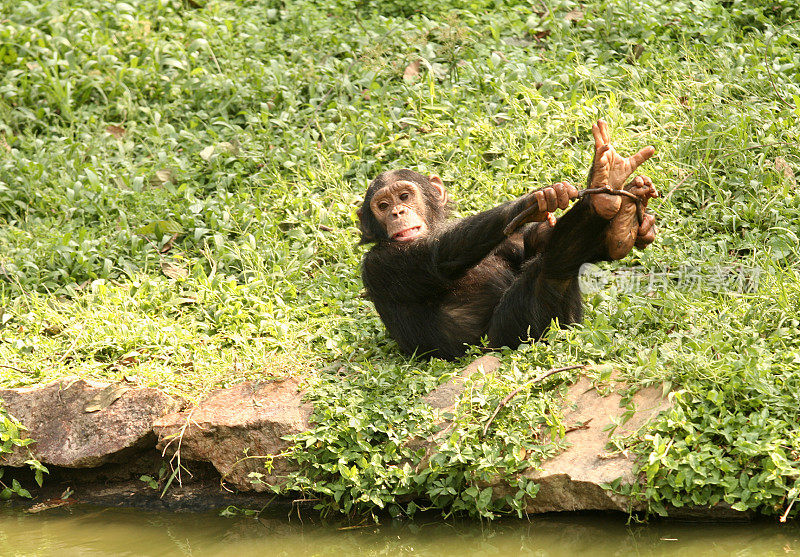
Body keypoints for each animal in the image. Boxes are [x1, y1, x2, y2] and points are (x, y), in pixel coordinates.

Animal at [358, 119, 656, 358]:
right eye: (382, 205)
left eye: (404, 196)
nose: (397, 212)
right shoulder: (380, 264)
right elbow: (437, 255)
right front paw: (532, 202)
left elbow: (527, 245)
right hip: (512, 335)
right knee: (553, 269)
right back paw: (603, 201)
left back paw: (617, 216)